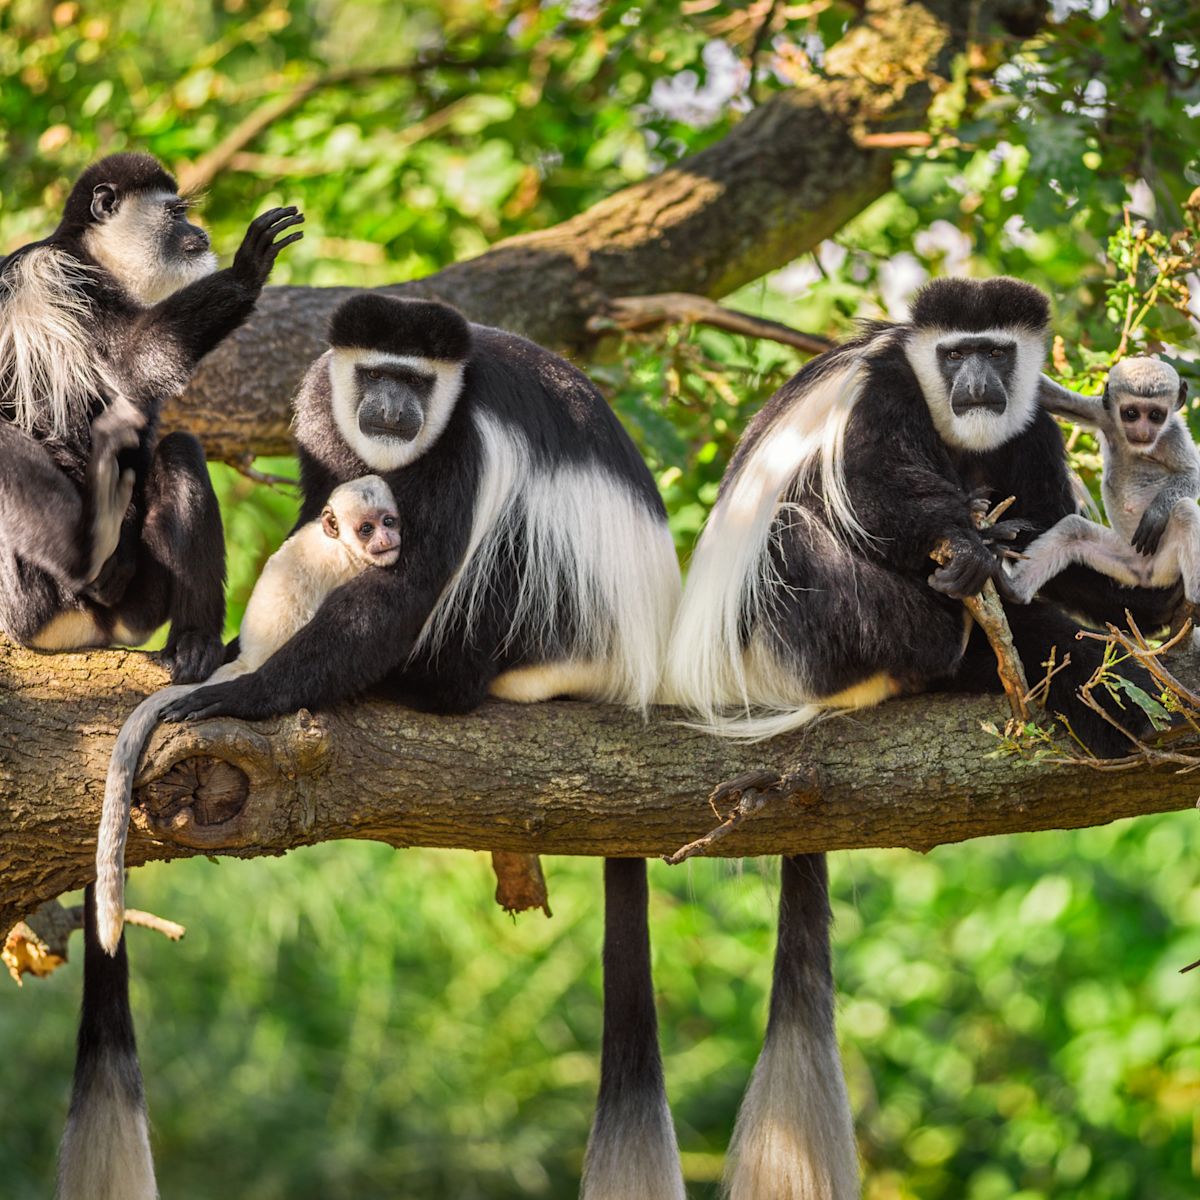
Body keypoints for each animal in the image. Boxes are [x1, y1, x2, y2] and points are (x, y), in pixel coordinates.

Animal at [152, 295, 686, 1200]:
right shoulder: (317, 408)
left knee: (503, 547)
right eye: (376, 373)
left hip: (552, 619)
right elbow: (317, 514)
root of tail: (635, 665)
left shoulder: (463, 447)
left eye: (418, 382)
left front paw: (248, 691)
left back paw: (430, 684)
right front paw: (226, 649)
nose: (392, 408)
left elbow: (405, 586)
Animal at [667, 274, 1180, 1200]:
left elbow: (1049, 522)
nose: (976, 381)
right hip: (790, 634)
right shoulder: (882, 394)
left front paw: (1138, 594)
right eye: (954, 353)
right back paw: (969, 640)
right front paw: (970, 548)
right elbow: (875, 496)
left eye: (997, 352)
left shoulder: (1030, 426)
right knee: (801, 534)